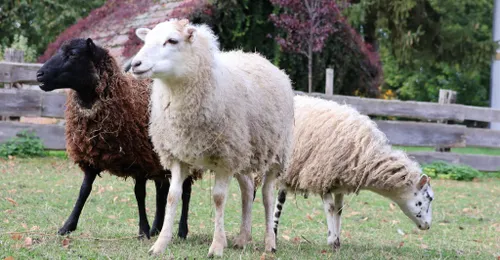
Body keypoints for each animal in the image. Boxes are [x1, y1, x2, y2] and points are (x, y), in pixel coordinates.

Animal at [35, 38, 201, 240]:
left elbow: (139, 193)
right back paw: (157, 228)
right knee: (162, 191)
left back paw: (181, 231)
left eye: (73, 54)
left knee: (185, 192)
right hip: (159, 160)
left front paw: (143, 230)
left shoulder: (139, 160)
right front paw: (67, 226)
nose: (39, 74)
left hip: (183, 155)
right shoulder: (93, 155)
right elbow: (84, 190)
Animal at [131, 19, 294, 256]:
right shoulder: (178, 154)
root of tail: (259, 56)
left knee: (267, 195)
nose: (135, 64)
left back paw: (269, 243)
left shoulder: (224, 158)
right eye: (146, 40)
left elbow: (218, 198)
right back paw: (242, 238)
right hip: (243, 153)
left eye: (172, 40)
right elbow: (172, 196)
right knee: (247, 189)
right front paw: (159, 245)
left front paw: (216, 247)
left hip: (275, 153)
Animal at [274, 94, 434, 251]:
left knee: (279, 200)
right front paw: (332, 241)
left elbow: (339, 210)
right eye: (426, 199)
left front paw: (337, 241)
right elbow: (330, 209)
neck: (365, 154)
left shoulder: (338, 184)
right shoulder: (322, 176)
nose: (427, 226)